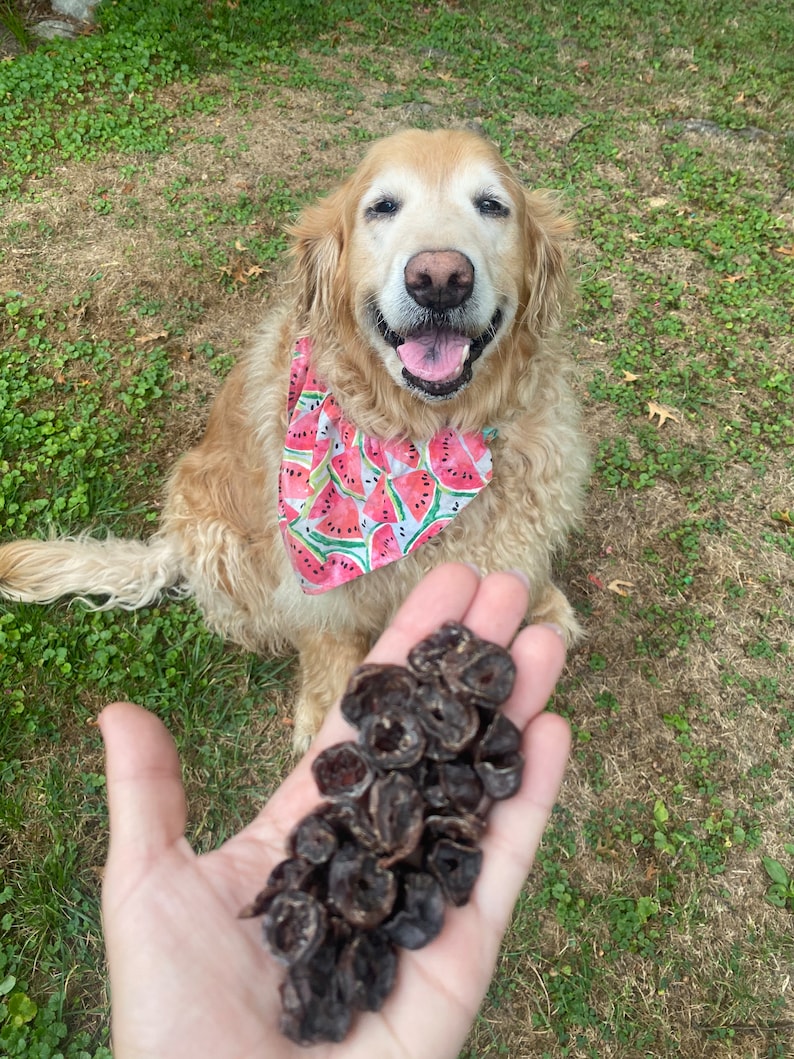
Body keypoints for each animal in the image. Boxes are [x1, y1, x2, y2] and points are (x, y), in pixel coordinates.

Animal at [0, 128, 588, 749]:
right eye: (382, 206)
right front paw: (322, 718)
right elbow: (326, 646)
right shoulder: (315, 582)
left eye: (492, 205)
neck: (424, 436)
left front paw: (543, 605)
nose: (439, 279)